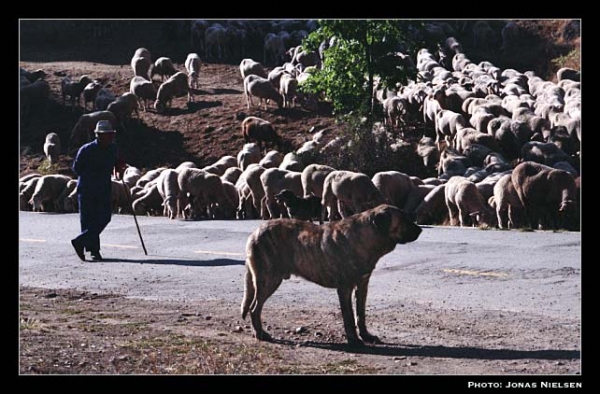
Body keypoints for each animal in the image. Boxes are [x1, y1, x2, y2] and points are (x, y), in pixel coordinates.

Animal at [240, 203, 422, 344]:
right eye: (404, 220)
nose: (420, 230)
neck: (365, 237)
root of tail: (254, 234)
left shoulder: (362, 285)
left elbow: (360, 314)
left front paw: (366, 336)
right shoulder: (345, 288)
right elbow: (349, 317)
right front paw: (354, 340)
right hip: (268, 280)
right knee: (254, 309)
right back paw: (261, 334)